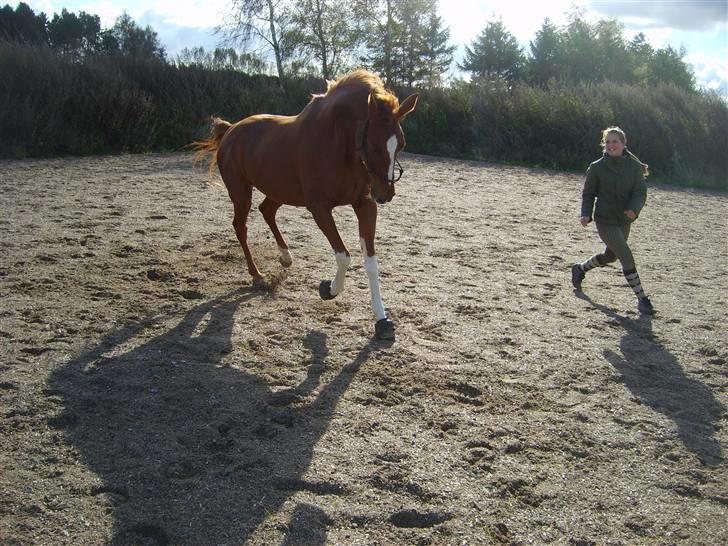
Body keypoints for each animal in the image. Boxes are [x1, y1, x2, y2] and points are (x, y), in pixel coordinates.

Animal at [193, 70, 418, 338]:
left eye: (402, 144)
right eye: (373, 145)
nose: (385, 194)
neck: (337, 143)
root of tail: (230, 130)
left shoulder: (364, 205)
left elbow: (371, 261)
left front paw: (382, 321)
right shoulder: (319, 208)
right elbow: (344, 256)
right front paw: (328, 289)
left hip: (278, 191)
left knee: (267, 211)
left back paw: (286, 257)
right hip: (241, 193)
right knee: (240, 226)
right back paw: (257, 275)